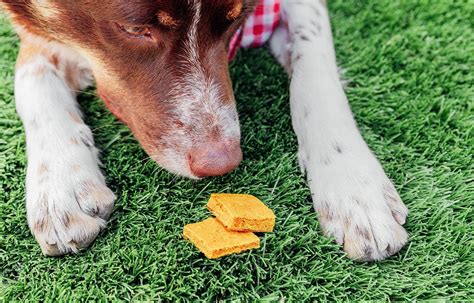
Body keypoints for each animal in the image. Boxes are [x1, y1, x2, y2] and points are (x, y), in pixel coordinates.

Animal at [0, 0, 410, 262]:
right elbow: (31, 78)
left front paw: (355, 189)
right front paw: (61, 185)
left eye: (236, 18)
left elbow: (317, 65)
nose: (220, 163)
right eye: (134, 30)